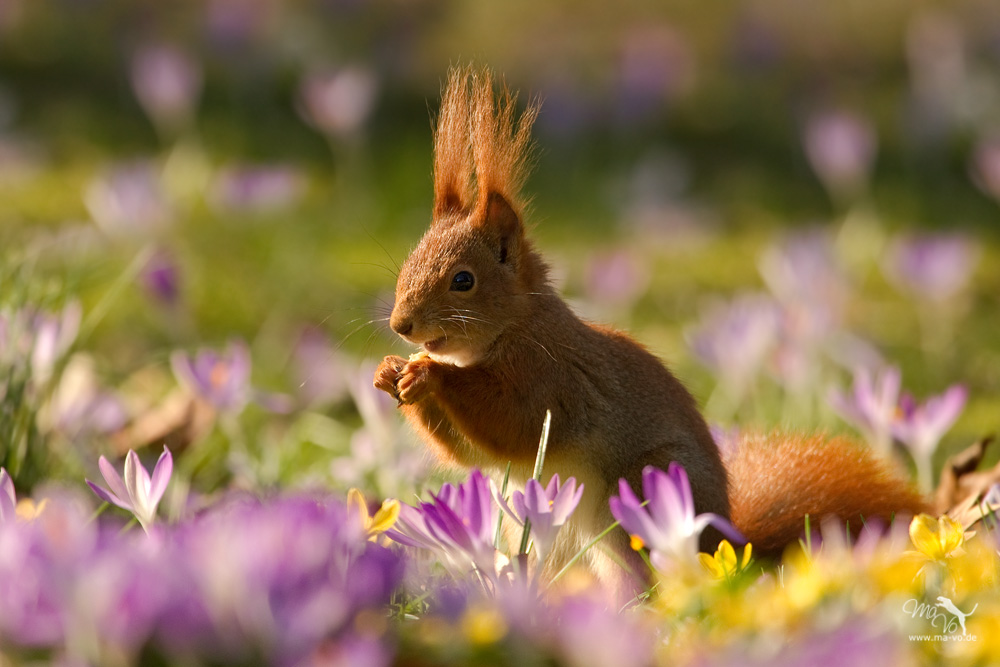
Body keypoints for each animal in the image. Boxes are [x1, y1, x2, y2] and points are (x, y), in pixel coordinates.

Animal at [376, 65, 928, 592]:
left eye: (463, 280)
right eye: (409, 260)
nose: (401, 325)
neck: (512, 329)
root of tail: (726, 543)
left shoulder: (555, 380)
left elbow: (513, 424)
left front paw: (429, 375)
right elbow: (469, 451)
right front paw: (389, 373)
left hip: (643, 494)